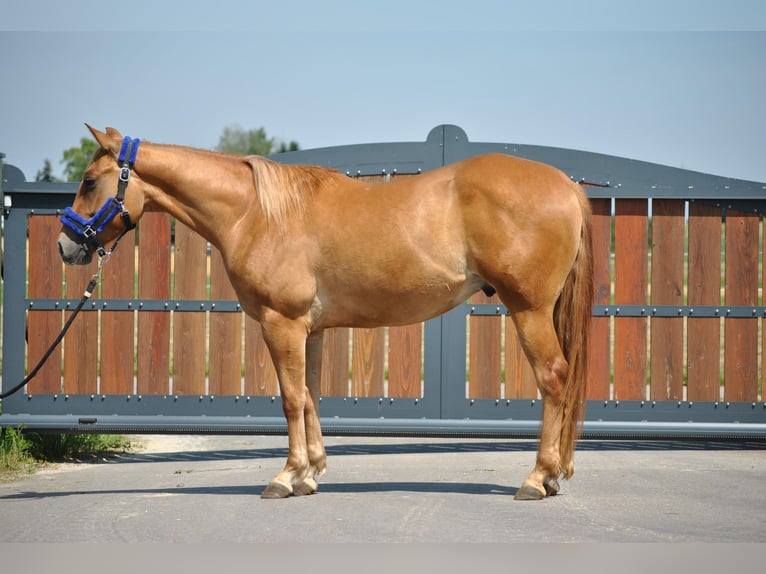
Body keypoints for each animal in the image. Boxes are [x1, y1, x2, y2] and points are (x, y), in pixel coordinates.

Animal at [58, 125, 593, 500]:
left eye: (89, 181)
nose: (66, 246)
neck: (255, 213)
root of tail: (565, 186)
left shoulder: (281, 323)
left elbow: (291, 400)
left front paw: (285, 476)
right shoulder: (309, 330)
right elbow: (311, 396)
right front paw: (310, 473)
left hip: (529, 311)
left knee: (554, 380)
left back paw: (537, 478)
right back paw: (551, 477)